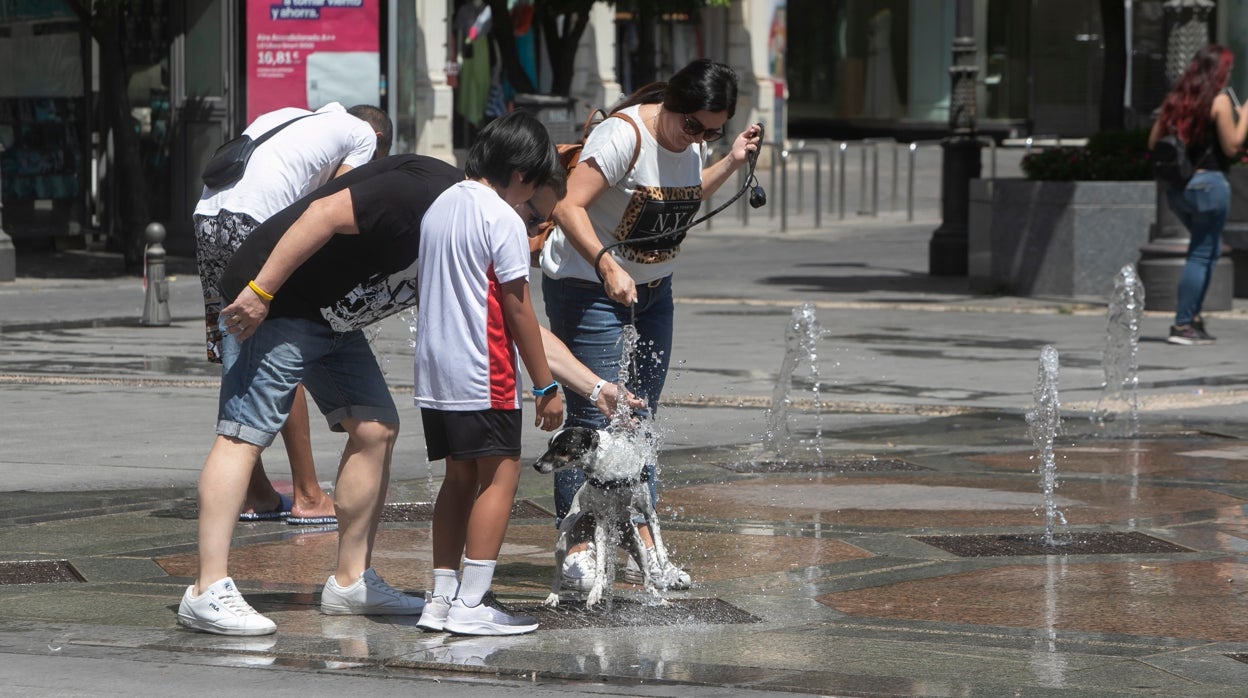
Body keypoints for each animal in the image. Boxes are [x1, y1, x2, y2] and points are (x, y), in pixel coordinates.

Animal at [534, 427, 678, 606]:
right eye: (549, 445)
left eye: (561, 447)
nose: (536, 465)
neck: (608, 469)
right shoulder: (601, 523)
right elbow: (599, 566)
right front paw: (595, 592)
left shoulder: (649, 512)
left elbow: (659, 545)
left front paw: (667, 568)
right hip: (563, 542)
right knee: (558, 575)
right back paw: (553, 596)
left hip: (639, 548)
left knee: (647, 582)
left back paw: (661, 600)